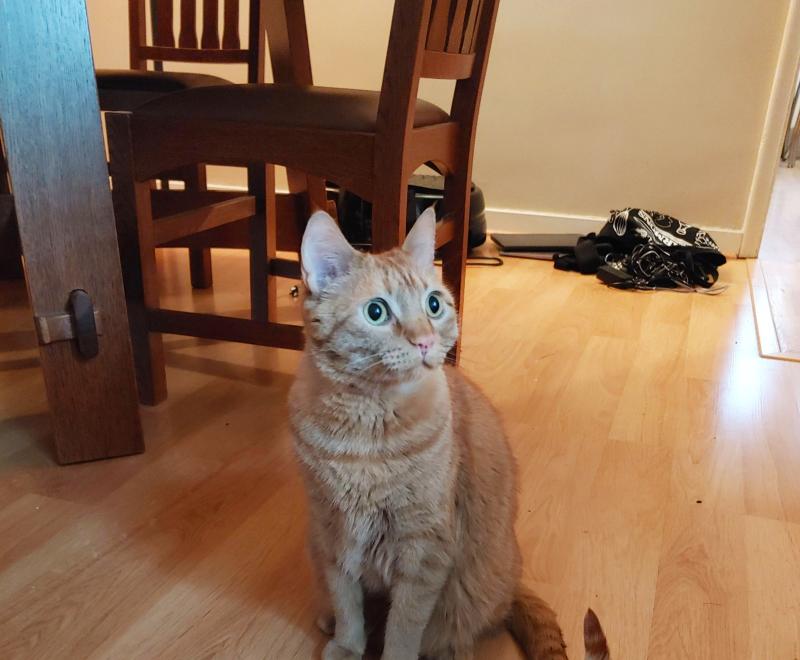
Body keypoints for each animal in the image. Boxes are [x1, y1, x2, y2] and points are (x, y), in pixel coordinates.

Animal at [290, 208, 608, 660]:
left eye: (434, 304)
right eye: (376, 312)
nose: (424, 341)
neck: (367, 430)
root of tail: (513, 579)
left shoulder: (424, 551)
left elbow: (403, 627)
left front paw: (390, 654)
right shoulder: (333, 534)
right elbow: (347, 604)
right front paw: (347, 646)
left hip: (463, 602)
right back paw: (329, 619)